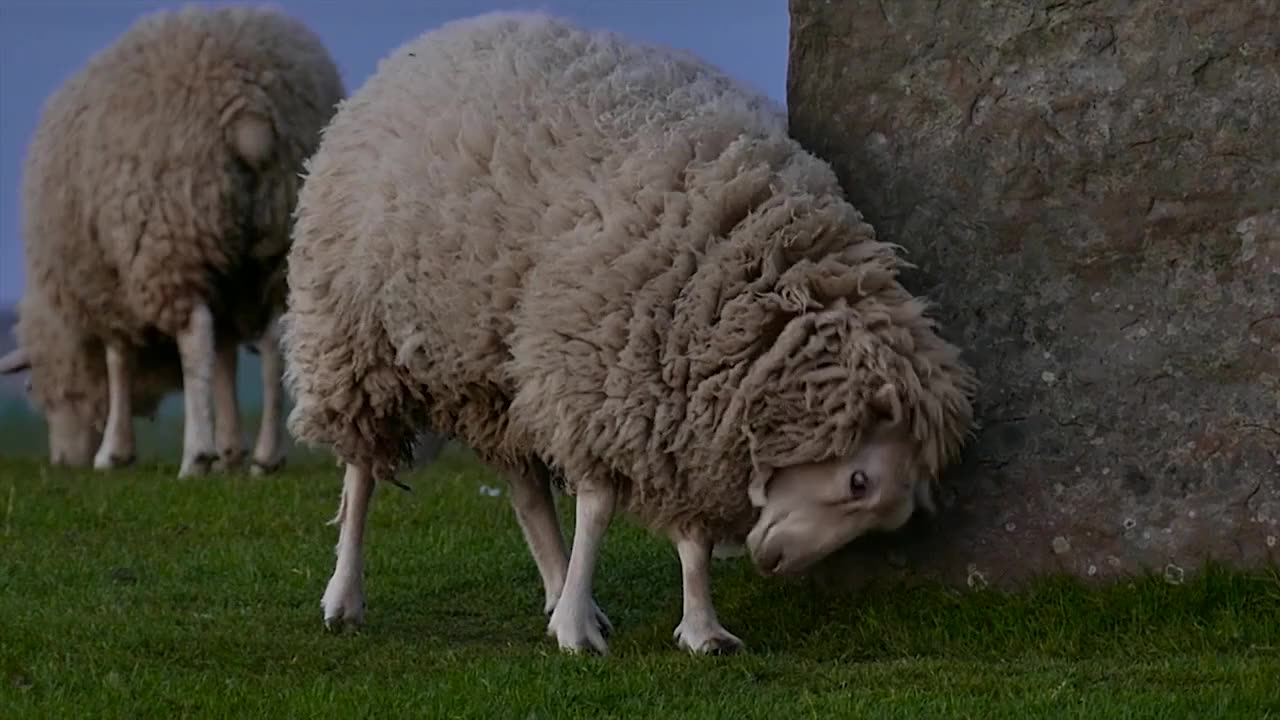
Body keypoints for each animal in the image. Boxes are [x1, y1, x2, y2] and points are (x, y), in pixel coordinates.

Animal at [0, 7, 345, 476]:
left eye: (39, 389)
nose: (63, 461)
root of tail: (250, 110)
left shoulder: (111, 286)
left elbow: (119, 361)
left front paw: (115, 451)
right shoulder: (224, 284)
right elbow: (225, 357)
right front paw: (230, 450)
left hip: (171, 233)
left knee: (194, 335)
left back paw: (195, 456)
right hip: (280, 242)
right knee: (275, 338)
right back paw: (265, 456)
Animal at [282, 11, 977, 653]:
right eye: (858, 481)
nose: (774, 564)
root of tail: (436, 37)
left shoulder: (683, 412)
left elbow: (692, 537)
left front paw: (700, 626)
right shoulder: (603, 373)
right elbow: (596, 506)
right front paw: (576, 631)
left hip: (497, 374)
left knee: (526, 492)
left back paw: (555, 584)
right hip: (353, 337)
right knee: (361, 471)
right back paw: (346, 595)